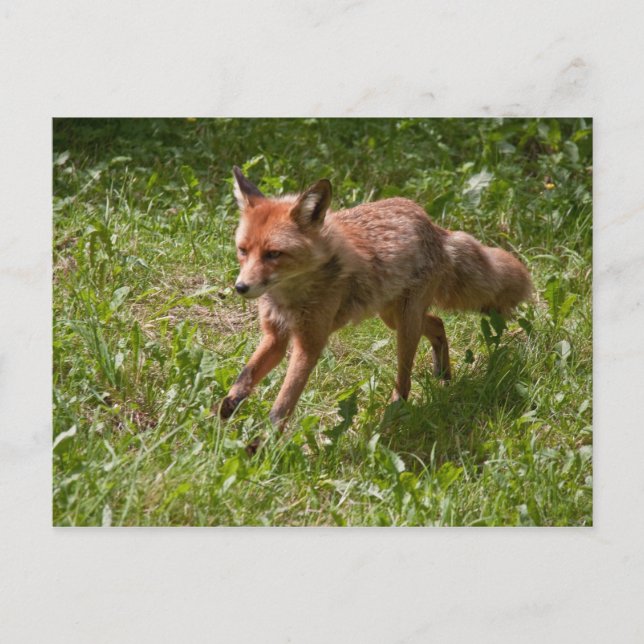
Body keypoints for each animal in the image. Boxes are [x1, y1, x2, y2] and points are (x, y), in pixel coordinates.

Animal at [219, 166, 533, 427]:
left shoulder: (309, 343)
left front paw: (264, 443)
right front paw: (228, 407)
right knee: (437, 323)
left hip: (404, 328)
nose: (241, 287)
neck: (288, 298)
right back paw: (444, 375)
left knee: (405, 381)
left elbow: (283, 403)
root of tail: (431, 224)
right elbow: (246, 374)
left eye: (274, 254)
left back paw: (393, 414)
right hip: (392, 316)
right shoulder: (276, 336)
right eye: (243, 251)